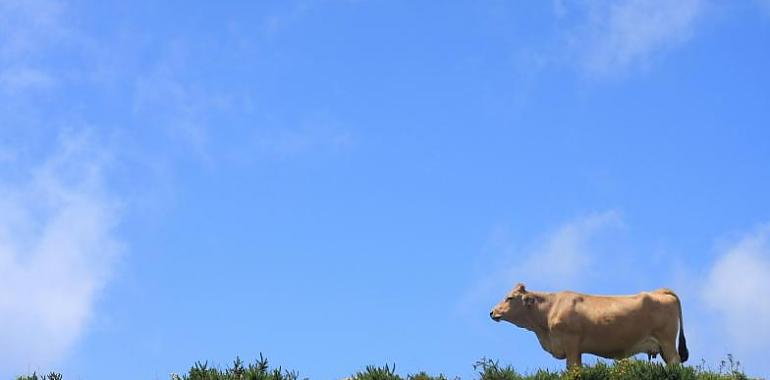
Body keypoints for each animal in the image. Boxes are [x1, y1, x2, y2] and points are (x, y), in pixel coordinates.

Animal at [488, 282, 688, 368]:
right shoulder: (576, 349)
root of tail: (660, 291)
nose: (492, 312)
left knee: (675, 361)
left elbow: (573, 369)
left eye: (510, 298)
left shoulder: (571, 343)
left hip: (667, 341)